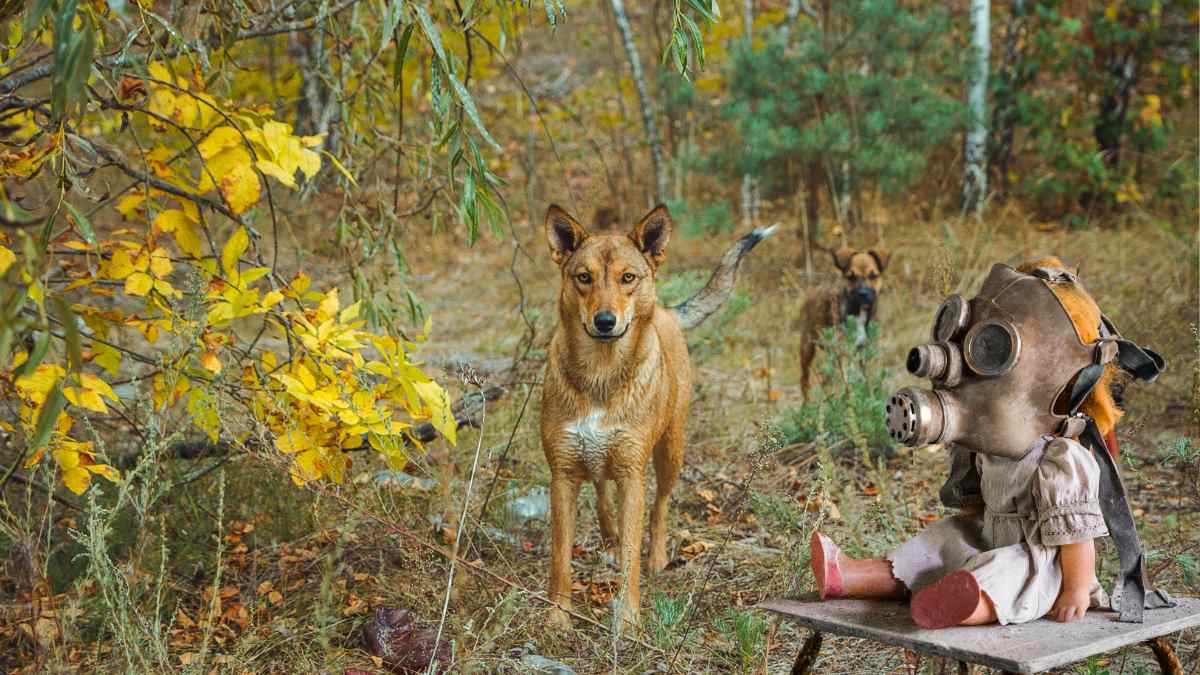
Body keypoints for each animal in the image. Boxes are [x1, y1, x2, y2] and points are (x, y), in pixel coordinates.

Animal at [540, 204, 772, 624]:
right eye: (584, 278)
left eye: (628, 278)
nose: (605, 322)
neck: (600, 375)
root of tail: (666, 312)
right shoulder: (562, 474)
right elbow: (560, 559)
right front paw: (558, 618)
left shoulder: (633, 474)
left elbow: (632, 556)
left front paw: (628, 621)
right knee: (601, 490)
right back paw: (609, 539)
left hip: (670, 451)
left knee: (661, 506)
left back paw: (658, 556)